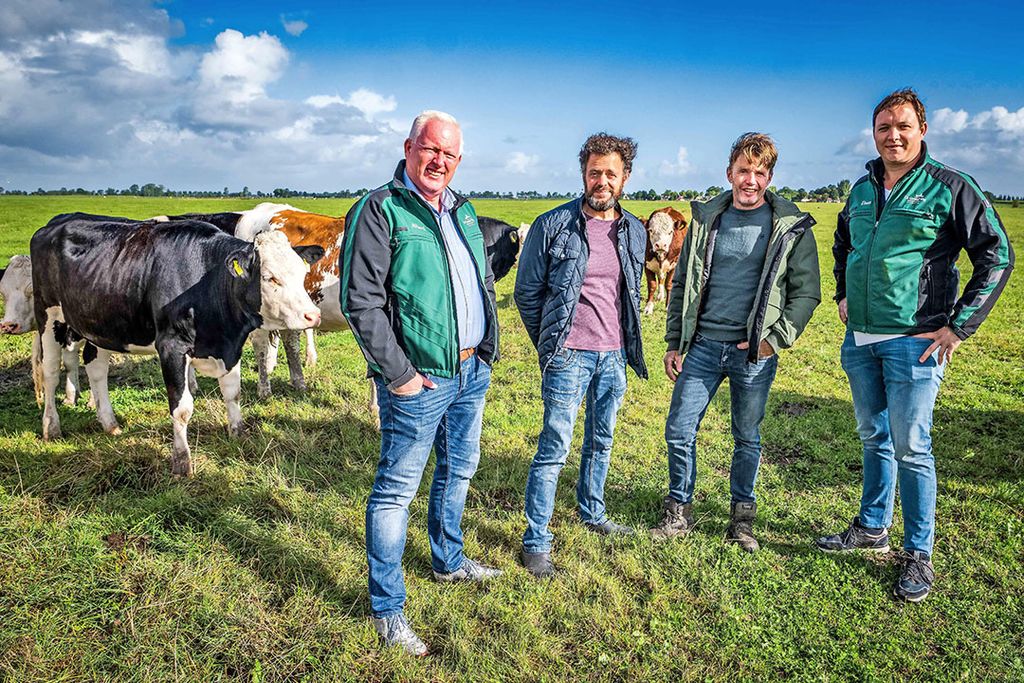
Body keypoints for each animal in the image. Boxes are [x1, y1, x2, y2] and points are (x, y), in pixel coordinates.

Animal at [32, 218, 321, 475]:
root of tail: (51, 227)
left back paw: (109, 423)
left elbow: (233, 393)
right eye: (270, 278)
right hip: (48, 315)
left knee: (96, 368)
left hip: (101, 323)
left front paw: (238, 433)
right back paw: (51, 428)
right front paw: (182, 463)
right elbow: (182, 409)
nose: (313, 315)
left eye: (302, 273)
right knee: (50, 372)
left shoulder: (230, 347)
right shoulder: (171, 346)